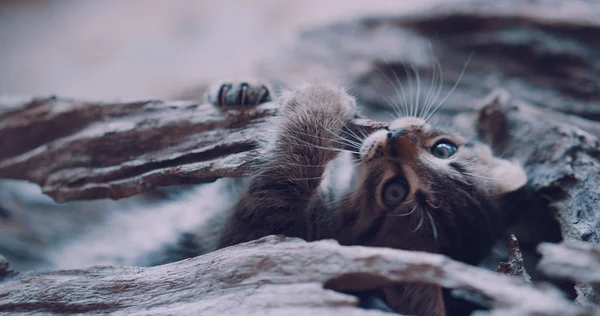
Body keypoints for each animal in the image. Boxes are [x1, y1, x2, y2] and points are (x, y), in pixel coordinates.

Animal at [154, 80, 524, 314]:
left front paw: (322, 99)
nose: (397, 137)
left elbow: (287, 175)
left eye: (395, 192)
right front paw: (238, 92)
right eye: (444, 149)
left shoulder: (254, 237)